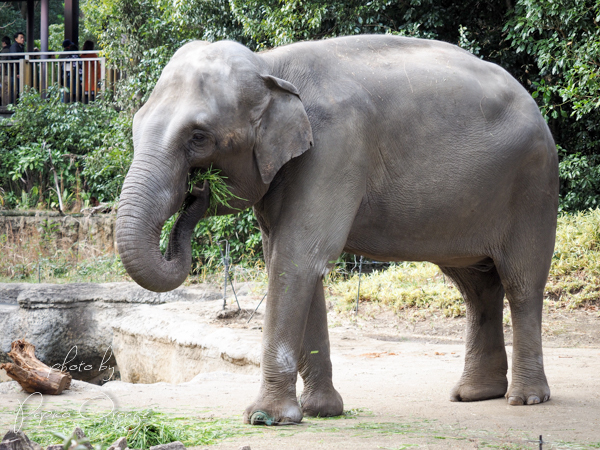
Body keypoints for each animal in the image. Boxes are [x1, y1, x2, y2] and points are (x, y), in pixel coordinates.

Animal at [116, 35, 556, 426]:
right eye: (135, 125)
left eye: (199, 137)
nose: (198, 190)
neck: (270, 66)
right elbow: (290, 262)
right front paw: (320, 411)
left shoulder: (335, 147)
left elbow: (298, 259)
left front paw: (265, 418)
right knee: (476, 287)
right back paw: (474, 394)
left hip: (533, 188)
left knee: (521, 282)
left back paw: (525, 398)